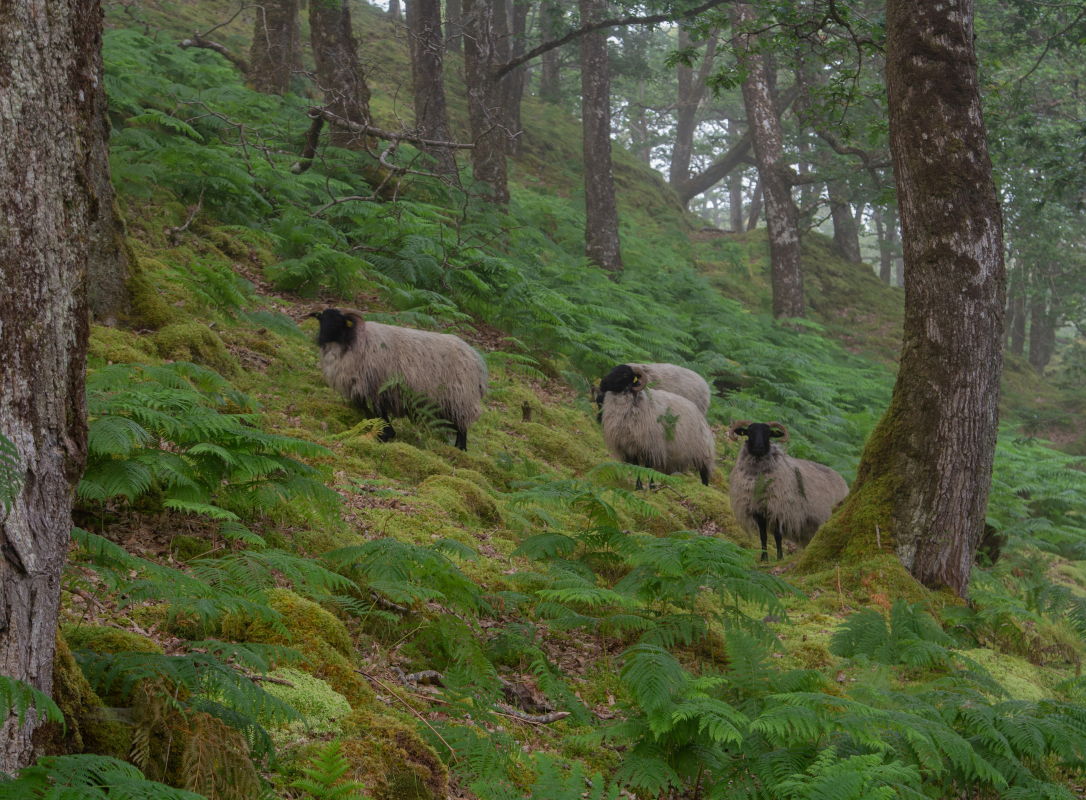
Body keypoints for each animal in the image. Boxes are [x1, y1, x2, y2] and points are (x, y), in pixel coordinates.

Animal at [310, 308, 488, 449]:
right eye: (321, 319)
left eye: (338, 322)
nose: (320, 339)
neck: (351, 340)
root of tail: (476, 358)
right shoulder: (363, 387)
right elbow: (367, 409)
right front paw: (380, 430)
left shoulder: (376, 386)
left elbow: (379, 412)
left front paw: (385, 434)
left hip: (461, 397)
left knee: (462, 426)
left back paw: (460, 448)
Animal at [729, 418, 847, 560]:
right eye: (749, 432)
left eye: (768, 433)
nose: (759, 447)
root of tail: (843, 480)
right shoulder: (758, 511)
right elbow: (763, 536)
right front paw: (764, 558)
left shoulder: (778, 509)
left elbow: (778, 536)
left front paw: (780, 557)